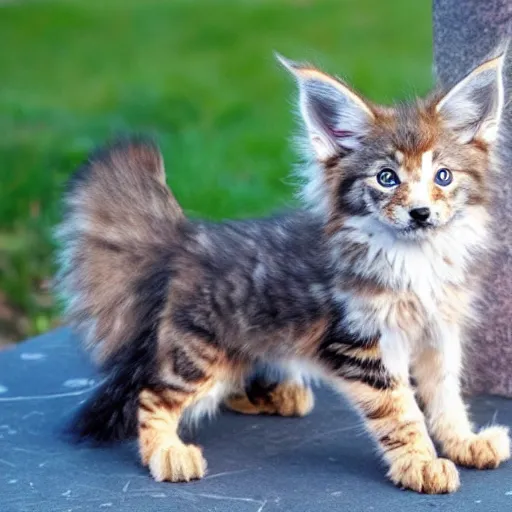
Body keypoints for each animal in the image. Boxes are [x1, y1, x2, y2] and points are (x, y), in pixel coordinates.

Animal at [56, 53, 508, 492]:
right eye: (386, 178)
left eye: (443, 176)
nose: (420, 213)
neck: (415, 260)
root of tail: (188, 237)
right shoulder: (361, 343)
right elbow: (400, 411)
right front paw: (421, 463)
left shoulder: (439, 331)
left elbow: (446, 395)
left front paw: (463, 441)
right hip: (200, 351)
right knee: (152, 395)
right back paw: (167, 452)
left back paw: (274, 394)